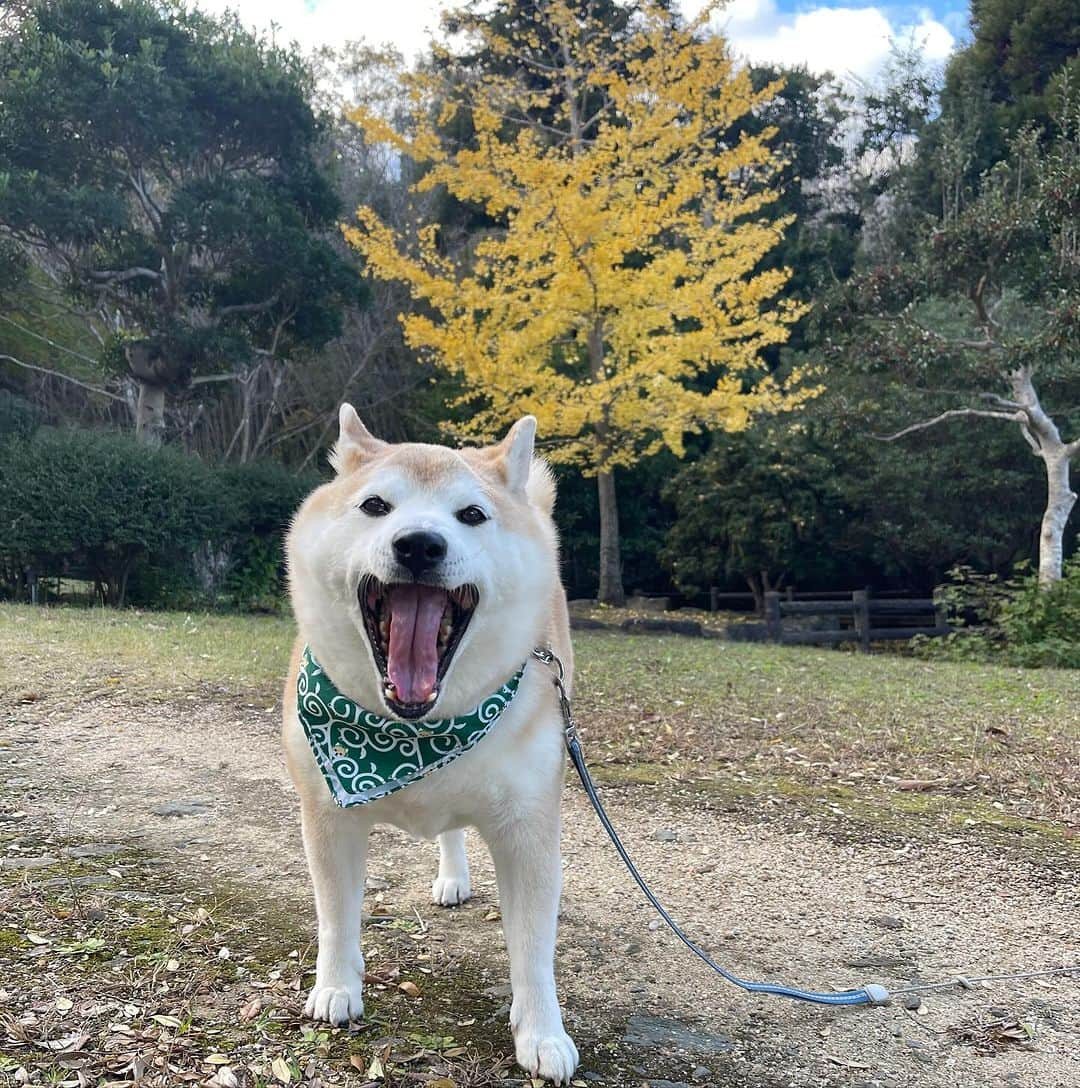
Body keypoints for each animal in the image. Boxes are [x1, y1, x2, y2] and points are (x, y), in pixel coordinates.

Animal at [282, 404, 578, 1083]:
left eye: (471, 514)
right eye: (375, 505)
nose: (419, 543)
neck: (413, 731)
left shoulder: (528, 830)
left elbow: (533, 951)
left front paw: (542, 1033)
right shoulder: (329, 816)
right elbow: (336, 916)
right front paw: (337, 988)